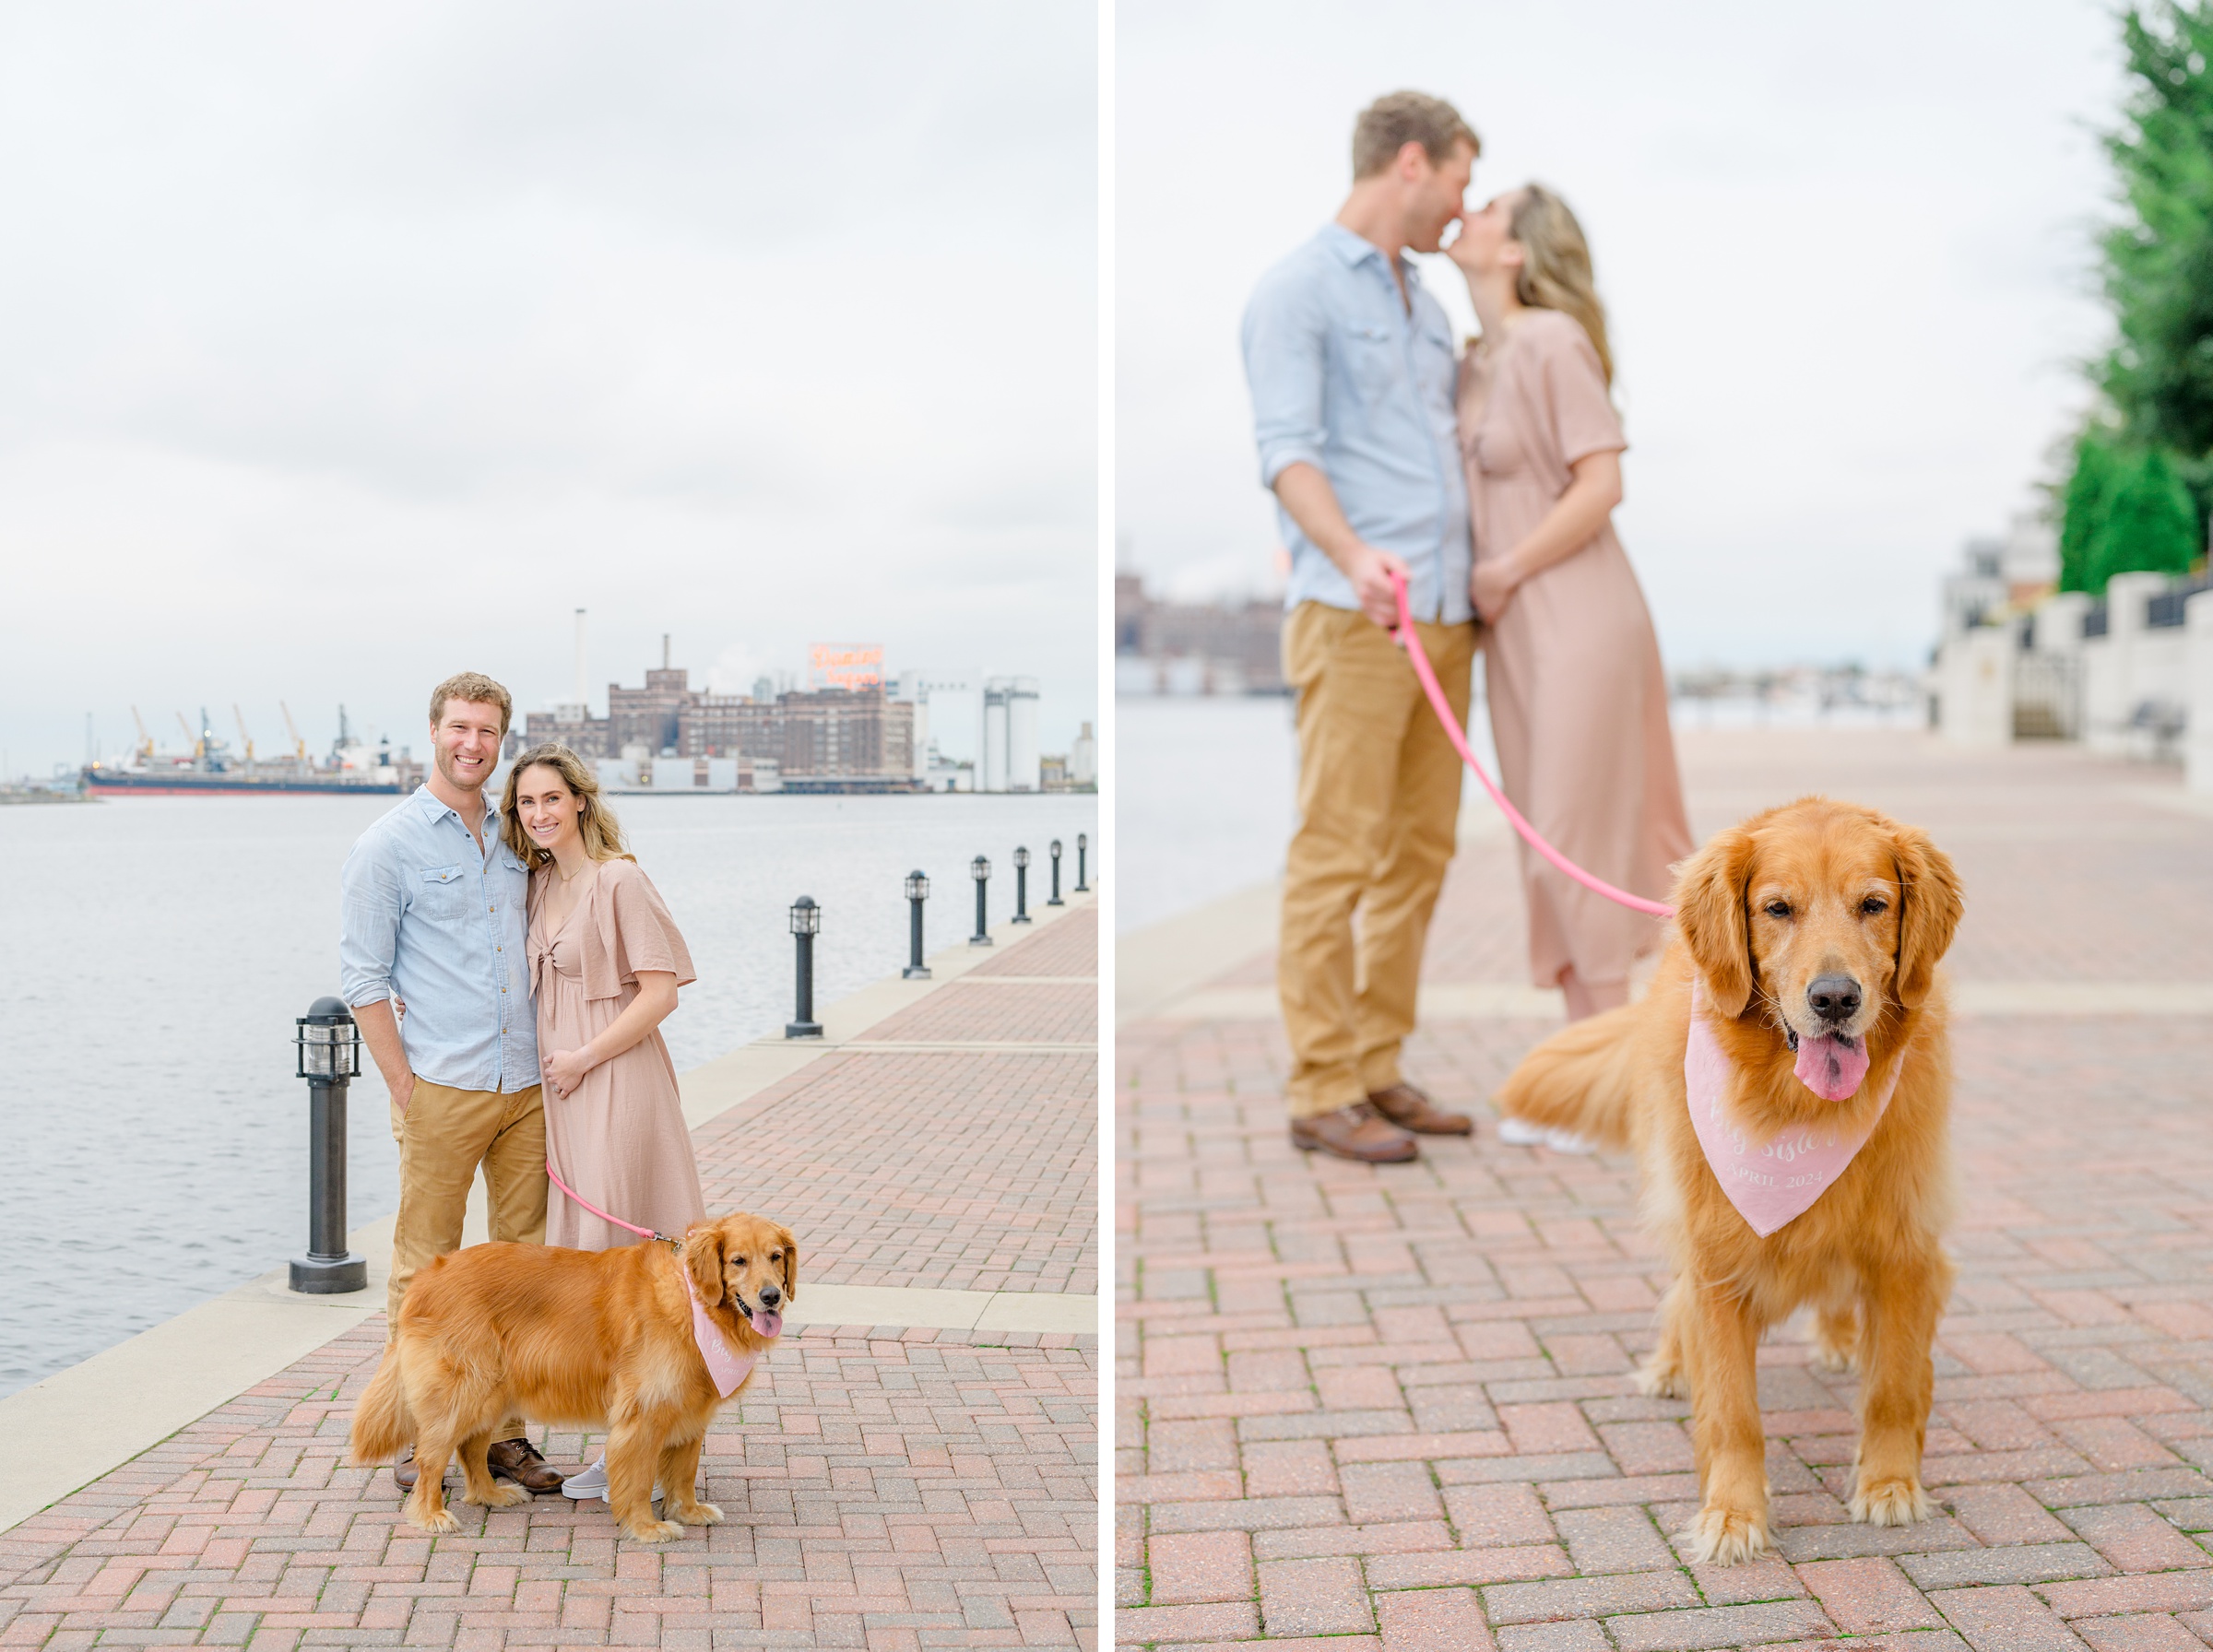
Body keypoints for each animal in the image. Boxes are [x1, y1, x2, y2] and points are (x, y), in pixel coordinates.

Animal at [345, 1211, 797, 1548]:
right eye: (738, 1261)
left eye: (775, 1256)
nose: (772, 1296)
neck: (694, 1302)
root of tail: (426, 1276)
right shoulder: (644, 1414)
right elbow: (637, 1479)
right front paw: (646, 1526)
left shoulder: (689, 1411)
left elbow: (683, 1472)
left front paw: (688, 1511)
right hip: (464, 1390)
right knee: (431, 1458)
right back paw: (431, 1514)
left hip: (492, 1392)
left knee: (472, 1449)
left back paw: (491, 1495)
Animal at [1496, 796, 1965, 1565]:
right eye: (1777, 909)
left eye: (1874, 904)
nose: (1835, 998)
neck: (1799, 1113)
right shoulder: (1716, 1257)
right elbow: (1731, 1410)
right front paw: (1733, 1513)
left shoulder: (1905, 1248)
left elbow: (1894, 1386)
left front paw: (1890, 1484)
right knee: (1675, 1295)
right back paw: (1669, 1362)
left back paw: (1841, 1337)